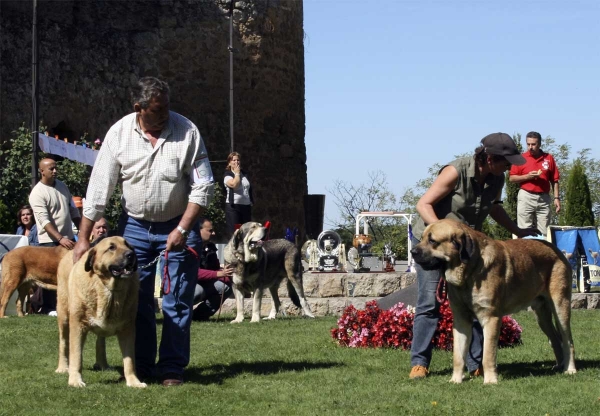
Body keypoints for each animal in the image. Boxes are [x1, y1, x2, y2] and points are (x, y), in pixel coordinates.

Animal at [55, 239, 146, 388]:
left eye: (128, 245)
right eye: (111, 247)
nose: (131, 254)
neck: (110, 289)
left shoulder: (128, 328)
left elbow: (129, 360)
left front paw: (134, 382)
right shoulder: (78, 325)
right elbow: (76, 355)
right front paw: (75, 380)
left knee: (100, 341)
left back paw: (102, 364)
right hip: (64, 316)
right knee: (63, 342)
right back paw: (62, 367)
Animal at [410, 219, 576, 386]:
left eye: (432, 241)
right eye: (422, 238)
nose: (412, 252)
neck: (470, 271)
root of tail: (558, 251)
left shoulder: (491, 318)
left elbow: (488, 354)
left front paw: (490, 380)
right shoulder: (461, 320)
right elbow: (458, 355)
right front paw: (455, 380)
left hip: (560, 307)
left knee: (568, 340)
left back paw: (570, 369)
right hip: (541, 316)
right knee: (555, 339)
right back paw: (559, 365)